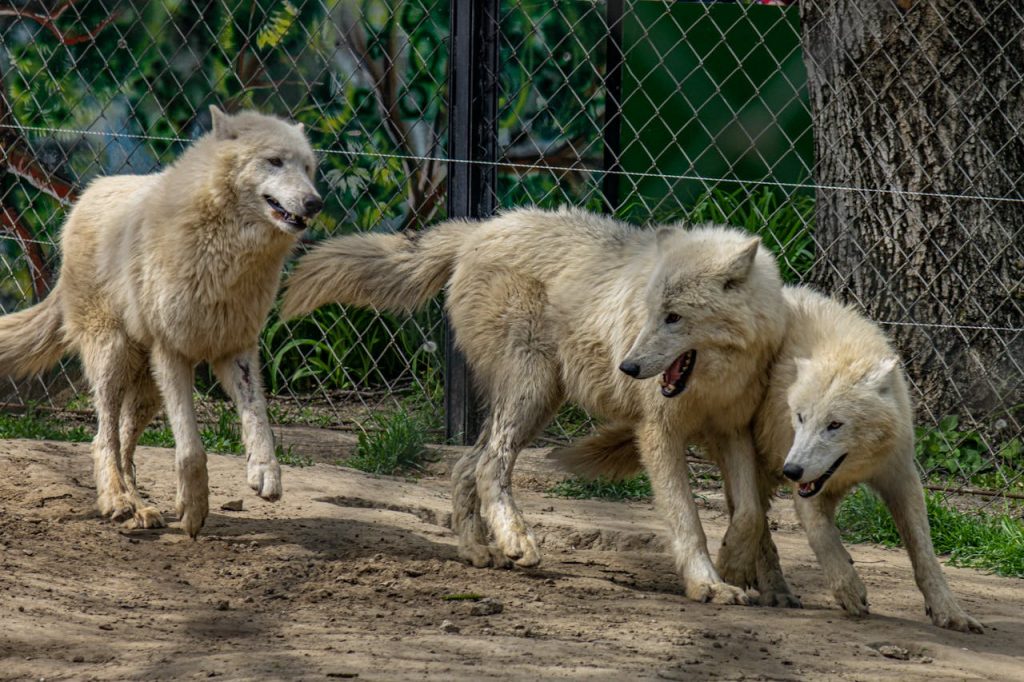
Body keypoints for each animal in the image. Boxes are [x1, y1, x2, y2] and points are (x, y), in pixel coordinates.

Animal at [0, 106, 322, 537]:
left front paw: (265, 472)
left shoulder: (236, 349)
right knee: (102, 439)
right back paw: (118, 501)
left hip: (146, 388)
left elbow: (258, 418)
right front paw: (194, 508)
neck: (227, 255)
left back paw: (139, 506)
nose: (314, 202)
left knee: (122, 443)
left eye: (308, 167)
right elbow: (190, 449)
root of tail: (84, 197)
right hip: (114, 358)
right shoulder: (172, 352)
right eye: (274, 161)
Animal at [281, 207, 787, 604]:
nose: (627, 366)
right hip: (532, 391)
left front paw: (735, 568)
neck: (712, 382)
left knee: (464, 466)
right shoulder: (658, 434)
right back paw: (517, 542)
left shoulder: (732, 431)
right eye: (649, 315)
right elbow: (687, 520)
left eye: (675, 318)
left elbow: (749, 514)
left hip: (534, 401)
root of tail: (479, 228)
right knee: (491, 465)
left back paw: (479, 551)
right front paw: (709, 584)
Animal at [555, 285, 982, 632]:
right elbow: (823, 539)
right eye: (800, 417)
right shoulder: (801, 478)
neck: (843, 348)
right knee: (755, 523)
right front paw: (848, 589)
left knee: (751, 518)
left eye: (835, 425)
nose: (792, 469)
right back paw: (772, 589)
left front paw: (951, 613)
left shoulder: (900, 478)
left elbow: (925, 555)